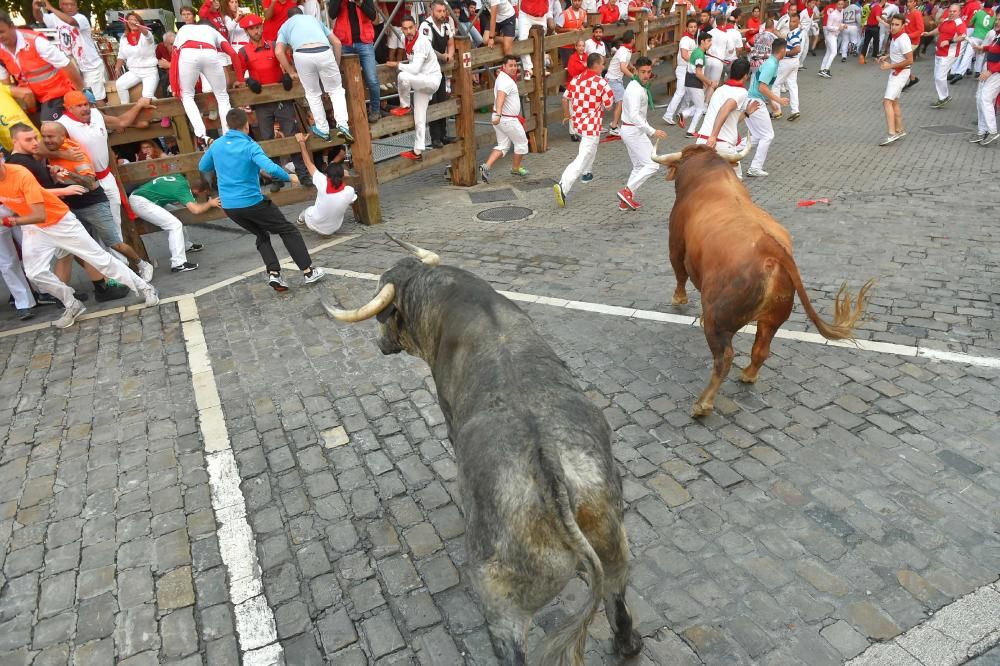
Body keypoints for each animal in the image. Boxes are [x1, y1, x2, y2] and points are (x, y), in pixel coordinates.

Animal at [324, 236, 644, 660]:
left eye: (382, 319)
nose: (378, 344)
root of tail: (548, 467)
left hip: (501, 602)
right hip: (614, 547)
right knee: (618, 603)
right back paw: (628, 644)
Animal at [652, 141, 872, 416]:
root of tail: (772, 249)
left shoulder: (675, 244)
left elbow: (679, 272)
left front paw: (678, 299)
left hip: (718, 321)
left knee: (724, 358)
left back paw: (703, 404)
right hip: (774, 317)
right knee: (761, 350)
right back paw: (748, 375)